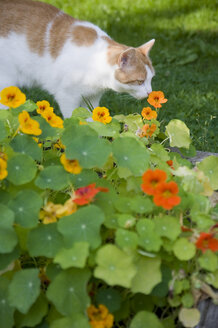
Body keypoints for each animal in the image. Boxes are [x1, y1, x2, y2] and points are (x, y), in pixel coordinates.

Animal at [0, 0, 155, 118]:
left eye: (151, 79)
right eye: (139, 81)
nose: (149, 93)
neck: (94, 61)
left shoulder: (92, 98)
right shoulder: (67, 97)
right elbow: (73, 121)